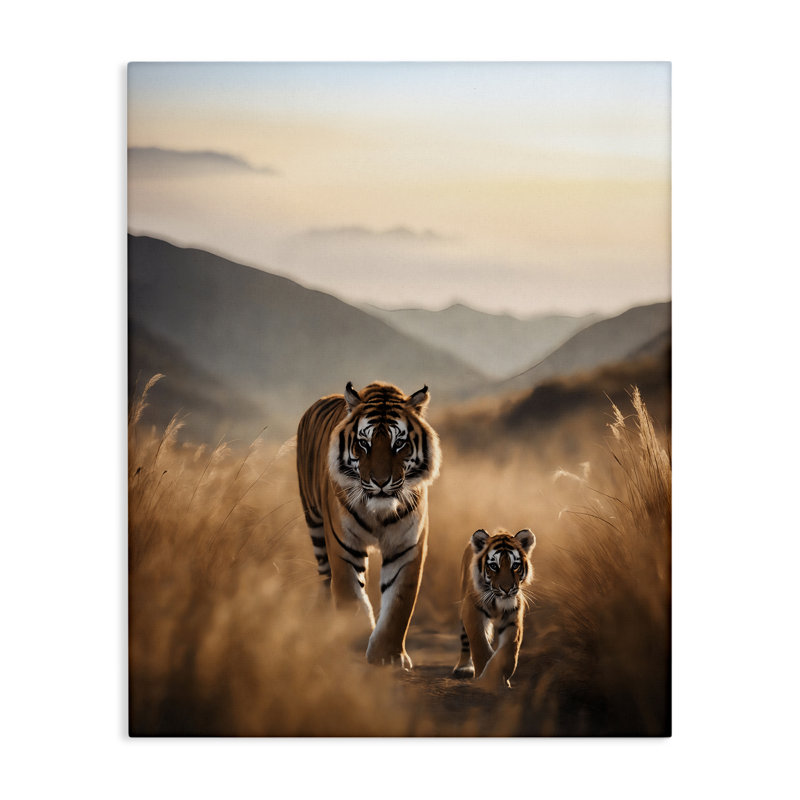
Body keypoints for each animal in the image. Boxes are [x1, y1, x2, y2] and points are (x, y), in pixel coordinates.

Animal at [296, 381, 442, 670]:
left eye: (399, 443)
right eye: (364, 443)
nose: (381, 482)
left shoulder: (406, 548)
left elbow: (399, 605)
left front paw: (387, 655)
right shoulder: (344, 545)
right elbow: (351, 596)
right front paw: (354, 644)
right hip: (315, 524)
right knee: (325, 578)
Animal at [452, 527, 536, 689]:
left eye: (515, 566)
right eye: (493, 566)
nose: (507, 589)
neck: (497, 603)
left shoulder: (513, 620)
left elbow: (508, 651)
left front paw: (496, 678)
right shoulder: (472, 612)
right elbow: (480, 645)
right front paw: (485, 679)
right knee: (465, 640)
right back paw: (463, 668)